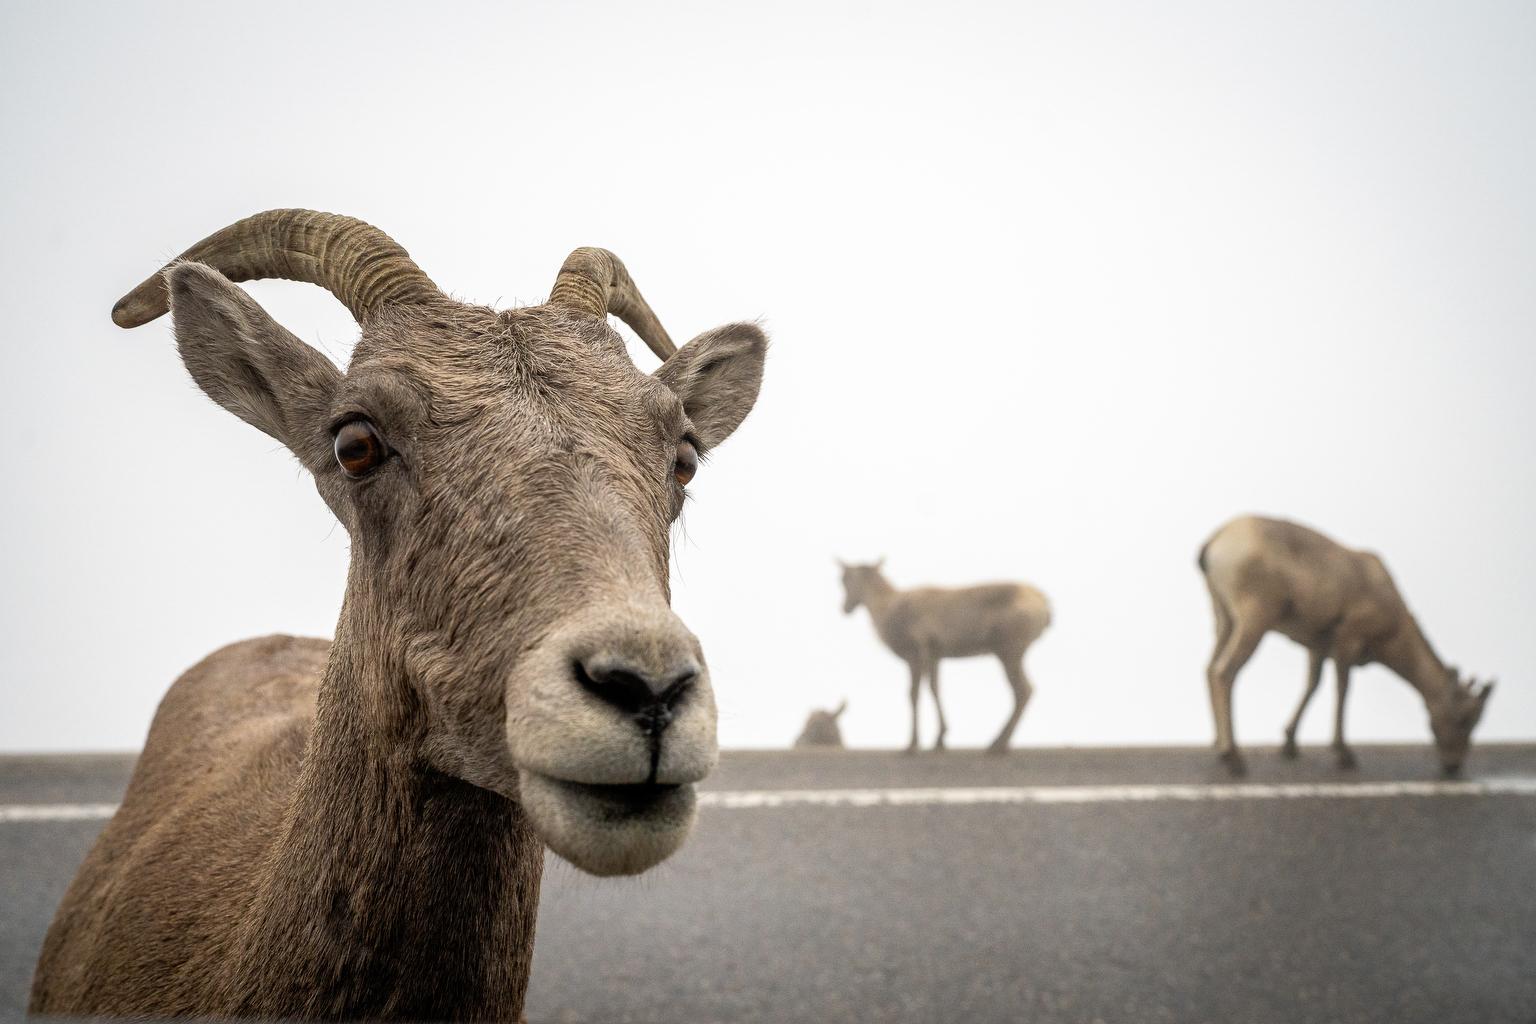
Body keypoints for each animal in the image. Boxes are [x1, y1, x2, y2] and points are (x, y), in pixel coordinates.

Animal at [835, 561, 1050, 752]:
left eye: (845, 578)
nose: (845, 609)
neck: (888, 605)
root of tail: (1043, 602)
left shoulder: (916, 654)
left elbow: (914, 694)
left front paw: (912, 745)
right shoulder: (935, 657)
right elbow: (935, 689)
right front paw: (939, 740)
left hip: (1009, 652)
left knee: (1023, 690)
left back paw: (997, 745)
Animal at [1191, 515, 1492, 773]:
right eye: (1465, 718)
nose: (1453, 766)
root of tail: (1214, 541)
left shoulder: (1317, 645)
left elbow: (1312, 685)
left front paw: (1290, 744)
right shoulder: (1348, 638)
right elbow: (1342, 689)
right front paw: (1344, 753)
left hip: (1224, 617)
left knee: (1208, 668)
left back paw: (1218, 746)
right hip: (1254, 619)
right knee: (1224, 671)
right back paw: (1233, 757)